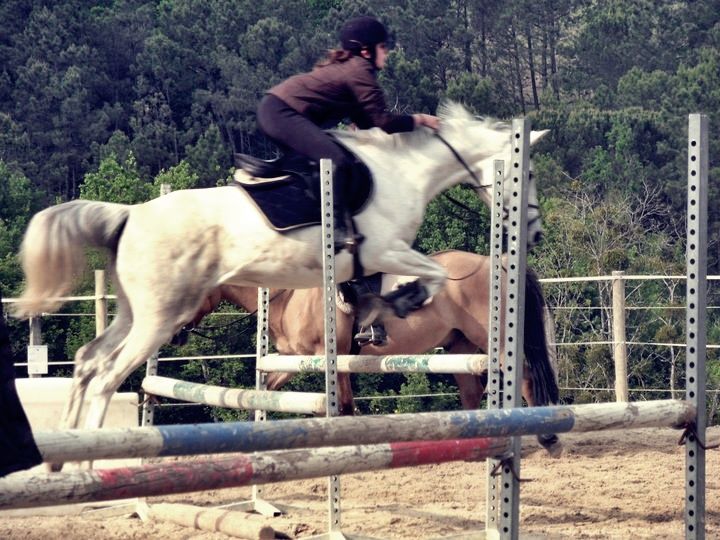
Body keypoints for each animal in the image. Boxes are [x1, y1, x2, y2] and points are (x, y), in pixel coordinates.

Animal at [13, 102, 547, 439]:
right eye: (526, 171)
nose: (535, 230)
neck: (402, 174)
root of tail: (130, 215)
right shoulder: (380, 257)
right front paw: (398, 301)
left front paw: (391, 305)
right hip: (153, 317)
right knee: (101, 371)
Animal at [180, 249, 562, 455]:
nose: (177, 335)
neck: (289, 295)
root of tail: (495, 262)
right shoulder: (295, 359)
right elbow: (268, 391)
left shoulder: (330, 356)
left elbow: (343, 407)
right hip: (460, 344)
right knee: (471, 391)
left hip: (490, 336)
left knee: (524, 376)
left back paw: (547, 436)